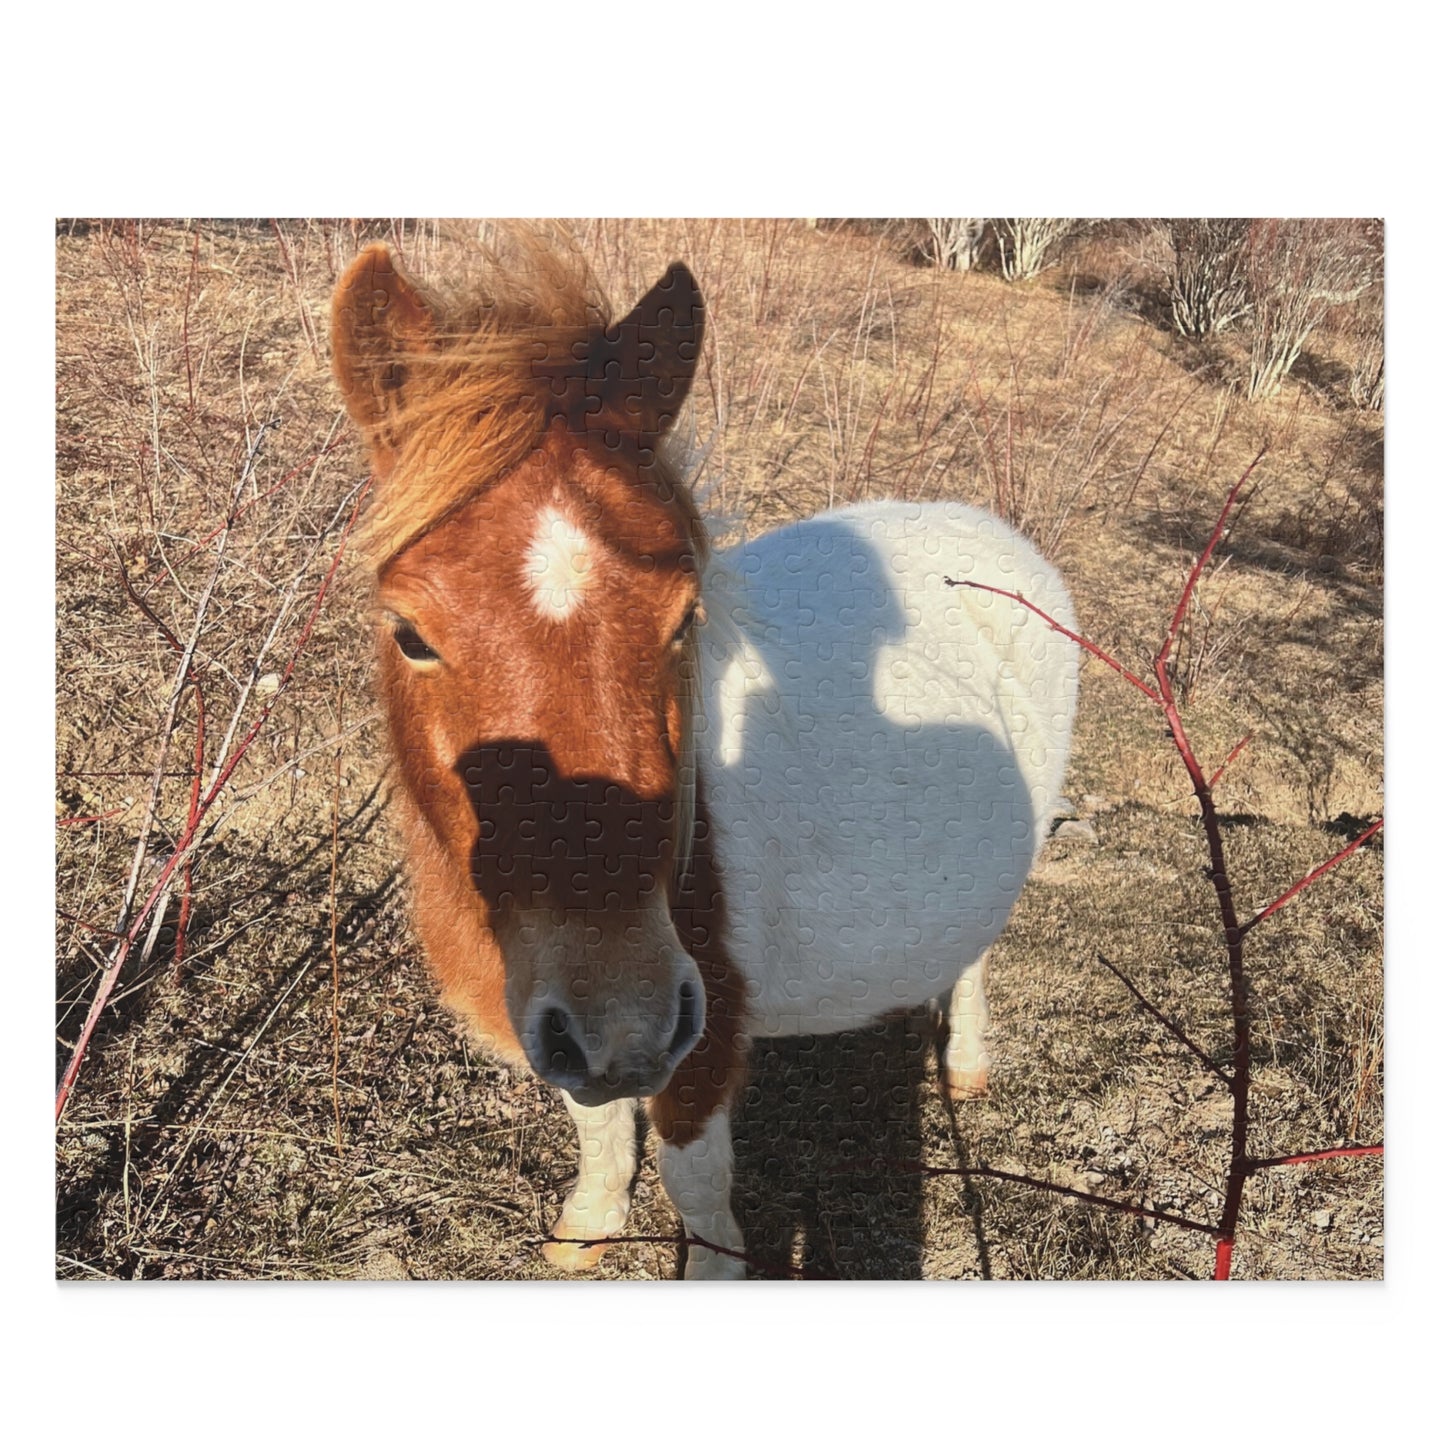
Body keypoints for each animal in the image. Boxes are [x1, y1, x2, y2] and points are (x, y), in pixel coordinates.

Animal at [330, 234, 1078, 1278]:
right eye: (408, 632)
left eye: (684, 617)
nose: (625, 1018)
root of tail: (990, 530)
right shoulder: (565, 1028)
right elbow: (595, 1123)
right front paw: (587, 1224)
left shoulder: (700, 1043)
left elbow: (695, 1189)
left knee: (976, 951)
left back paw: (964, 1059)